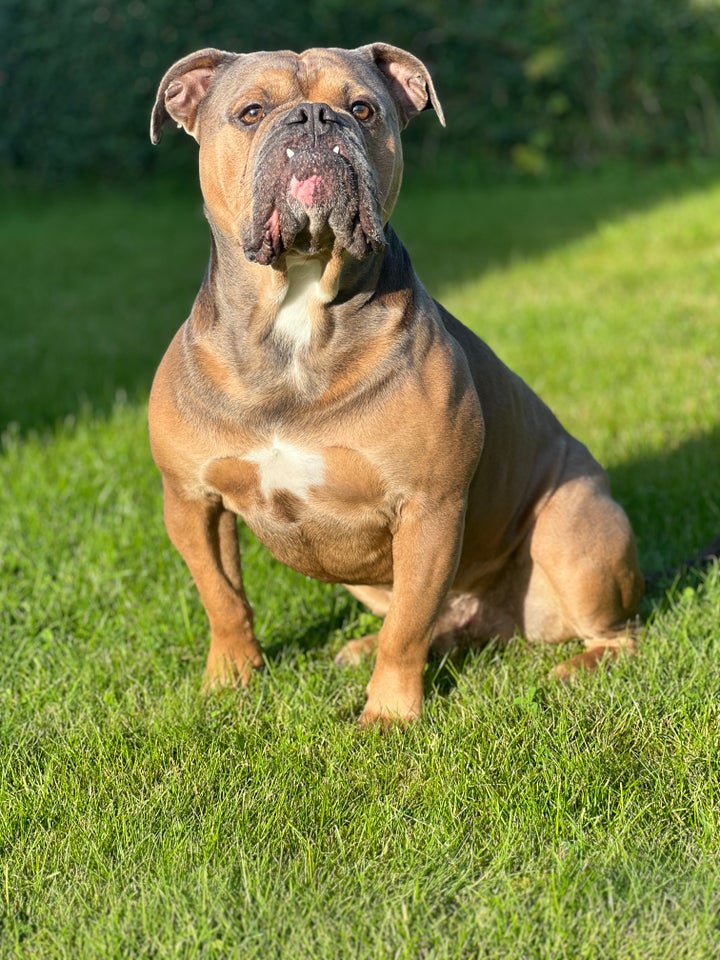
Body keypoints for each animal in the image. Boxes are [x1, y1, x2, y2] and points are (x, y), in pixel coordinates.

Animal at [149, 43, 644, 720]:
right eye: (250, 112)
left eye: (362, 108)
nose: (314, 118)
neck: (295, 314)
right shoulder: (192, 501)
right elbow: (223, 599)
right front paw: (229, 682)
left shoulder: (429, 507)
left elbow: (408, 628)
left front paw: (387, 717)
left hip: (574, 535)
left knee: (616, 632)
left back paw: (577, 668)